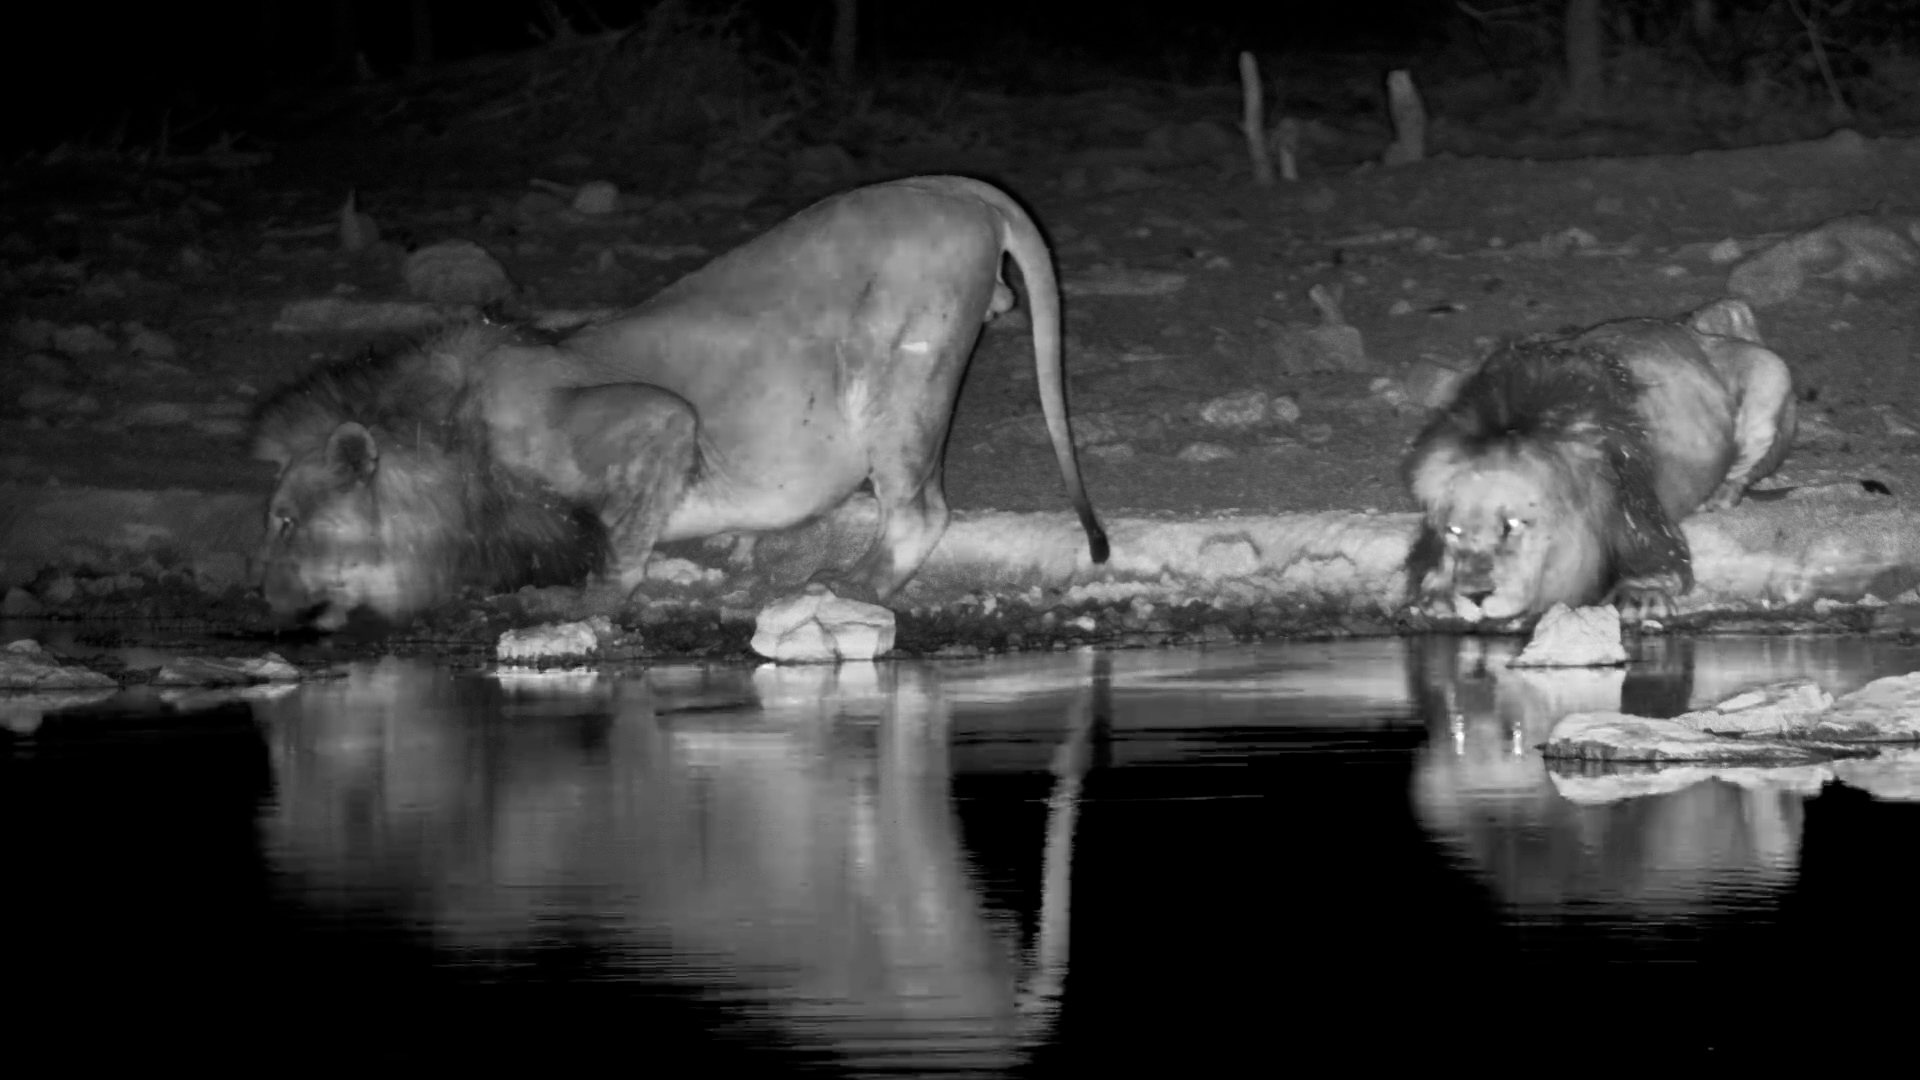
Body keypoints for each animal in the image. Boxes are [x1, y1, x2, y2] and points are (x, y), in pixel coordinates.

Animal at [254, 176, 1109, 629]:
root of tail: (961, 187)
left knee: (921, 512)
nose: (265, 601)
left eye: (286, 523)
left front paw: (578, 601)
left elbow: (617, 547)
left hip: (904, 377)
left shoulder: (650, 419)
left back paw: (843, 589)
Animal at [1405, 298, 1796, 627]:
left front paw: (1642, 597)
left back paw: (1718, 497)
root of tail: (1693, 326)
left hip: (1771, 371)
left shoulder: (1636, 503)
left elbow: (1660, 558)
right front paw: (1435, 593)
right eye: (1453, 531)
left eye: (1512, 525)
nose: (1476, 595)